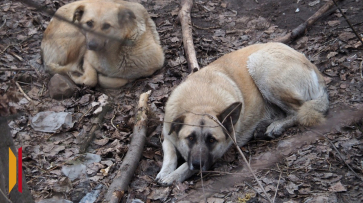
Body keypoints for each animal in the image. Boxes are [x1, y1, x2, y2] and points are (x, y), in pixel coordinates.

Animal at [156, 42, 330, 185]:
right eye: (190, 138)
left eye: (212, 140)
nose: (198, 164)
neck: (201, 102)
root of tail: (311, 64)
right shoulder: (167, 135)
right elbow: (170, 154)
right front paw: (165, 172)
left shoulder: (218, 151)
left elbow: (186, 166)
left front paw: (173, 176)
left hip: (260, 66)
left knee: (298, 110)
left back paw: (276, 126)